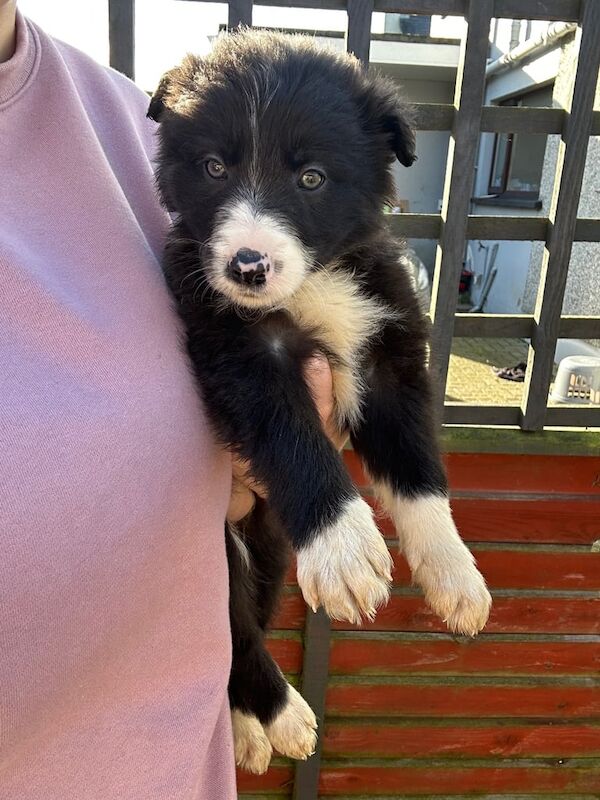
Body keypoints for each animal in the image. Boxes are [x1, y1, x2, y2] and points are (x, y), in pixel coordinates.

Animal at [148, 31, 490, 776]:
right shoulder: (237, 352)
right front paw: (344, 550)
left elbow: (417, 469)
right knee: (234, 629)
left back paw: (247, 725)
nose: (247, 266)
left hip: (269, 548)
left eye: (310, 179)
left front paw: (454, 571)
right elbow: (294, 437)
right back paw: (278, 717)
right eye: (214, 167)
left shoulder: (386, 347)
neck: (312, 284)